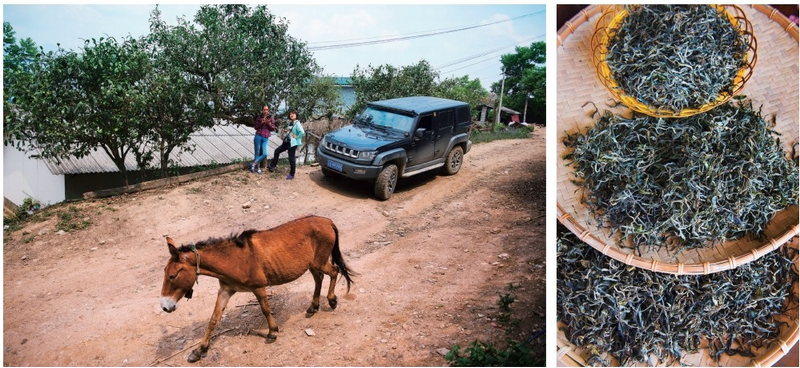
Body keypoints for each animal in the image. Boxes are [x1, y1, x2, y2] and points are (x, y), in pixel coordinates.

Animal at [159, 216, 354, 362]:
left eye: (172, 276)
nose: (165, 307)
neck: (234, 259)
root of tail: (327, 221)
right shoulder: (225, 290)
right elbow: (214, 319)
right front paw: (200, 350)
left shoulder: (258, 287)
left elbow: (266, 310)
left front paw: (272, 332)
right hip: (312, 264)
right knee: (319, 278)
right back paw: (313, 306)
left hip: (319, 261)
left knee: (334, 271)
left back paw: (332, 300)